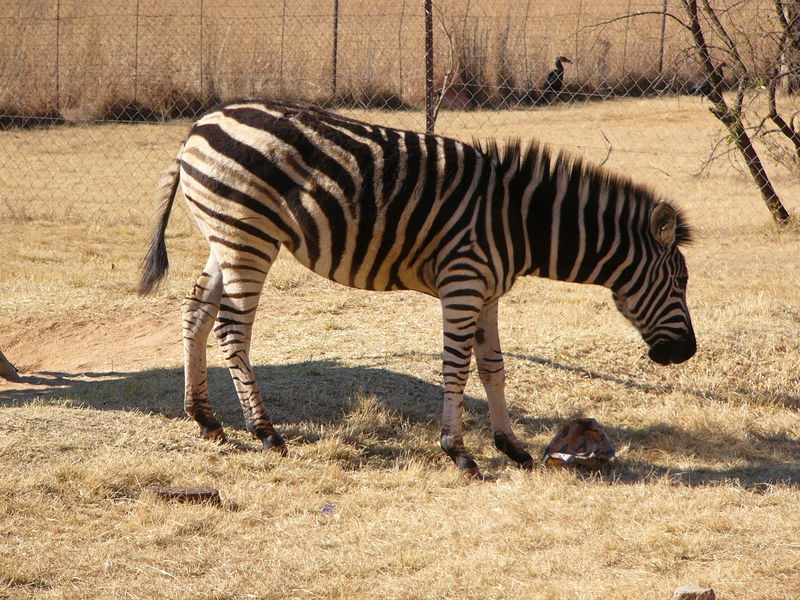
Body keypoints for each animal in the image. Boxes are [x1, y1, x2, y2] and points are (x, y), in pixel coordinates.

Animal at [138, 99, 692, 478]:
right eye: (680, 281)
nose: (686, 353)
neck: (518, 223)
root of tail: (198, 125)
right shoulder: (463, 282)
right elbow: (456, 368)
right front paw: (459, 453)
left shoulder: (489, 290)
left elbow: (493, 367)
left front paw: (511, 447)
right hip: (246, 235)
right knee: (233, 330)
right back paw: (266, 433)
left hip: (225, 234)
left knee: (195, 312)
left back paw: (205, 419)